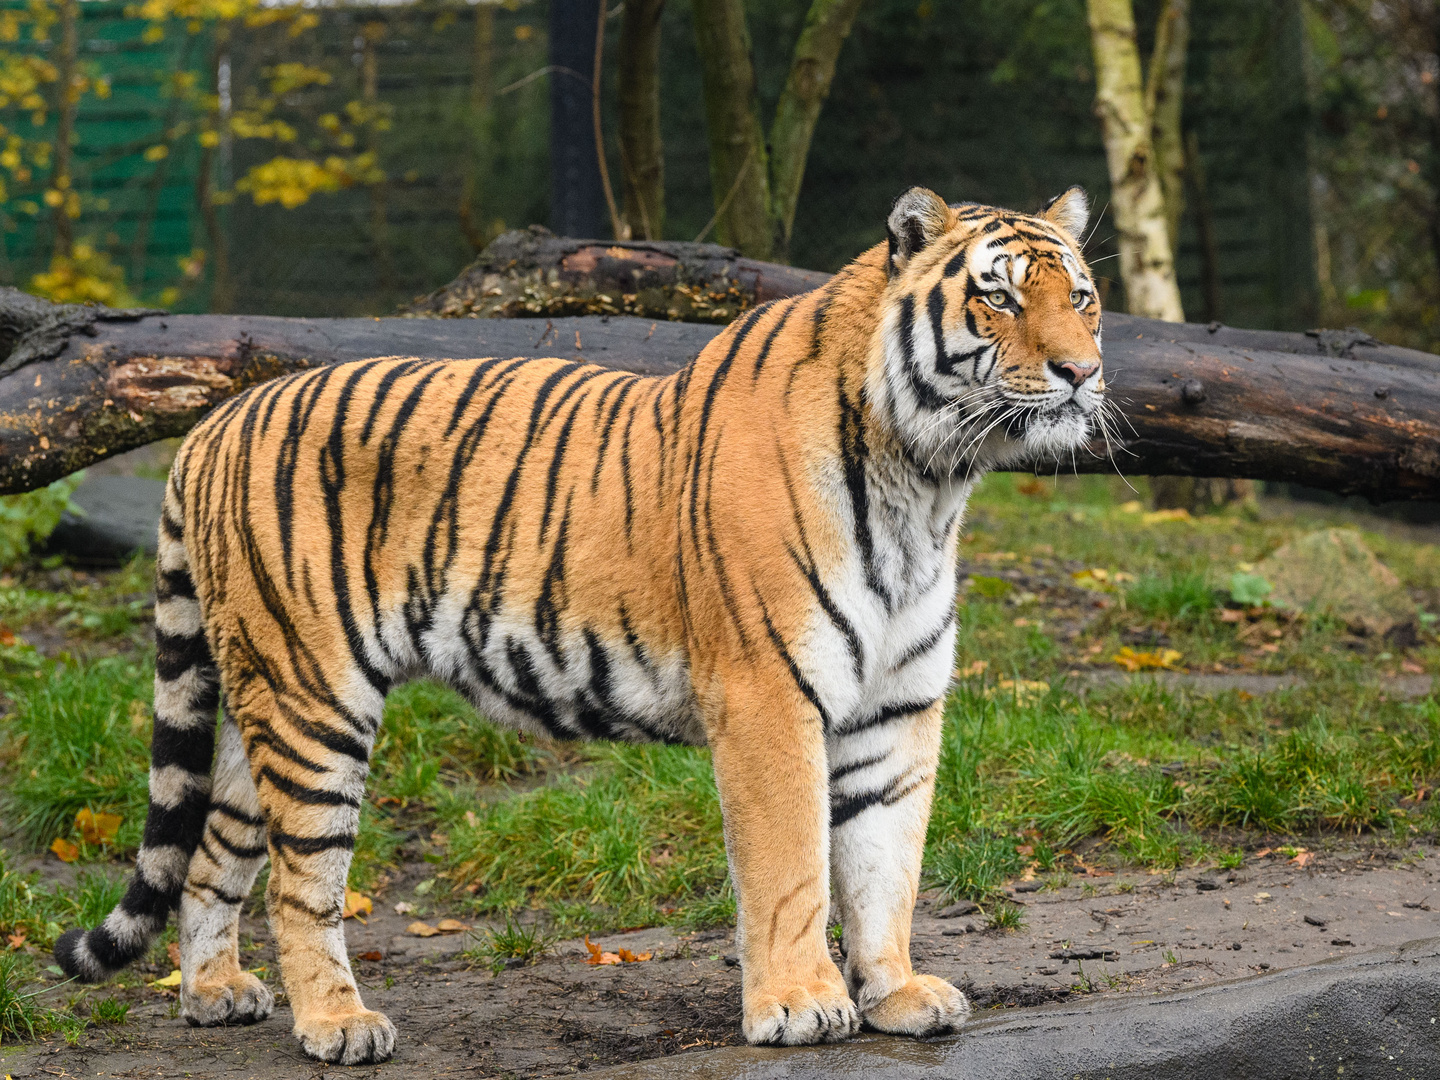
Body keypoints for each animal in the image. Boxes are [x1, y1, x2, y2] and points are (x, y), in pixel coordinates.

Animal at [53, 185, 1100, 1065]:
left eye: (1083, 298)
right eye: (1000, 300)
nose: (1084, 373)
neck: (926, 485)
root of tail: (213, 422)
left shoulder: (897, 708)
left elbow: (886, 864)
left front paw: (896, 995)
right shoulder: (768, 694)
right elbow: (792, 865)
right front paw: (801, 1004)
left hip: (255, 697)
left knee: (214, 850)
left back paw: (216, 994)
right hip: (313, 697)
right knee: (297, 878)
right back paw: (337, 1024)